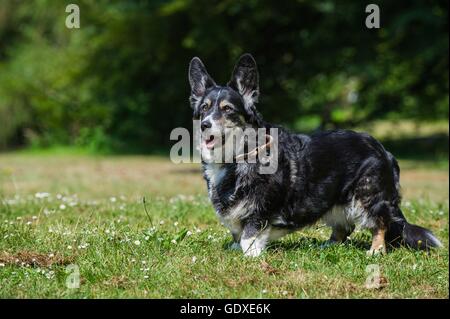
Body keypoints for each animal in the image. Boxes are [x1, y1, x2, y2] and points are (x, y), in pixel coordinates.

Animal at [188, 52, 442, 258]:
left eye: (227, 109)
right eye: (204, 108)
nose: (205, 125)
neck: (234, 157)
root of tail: (382, 148)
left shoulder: (260, 209)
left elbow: (249, 234)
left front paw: (249, 255)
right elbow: (236, 232)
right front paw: (234, 247)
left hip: (368, 194)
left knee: (380, 222)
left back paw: (376, 250)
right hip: (333, 199)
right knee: (344, 228)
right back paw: (327, 246)